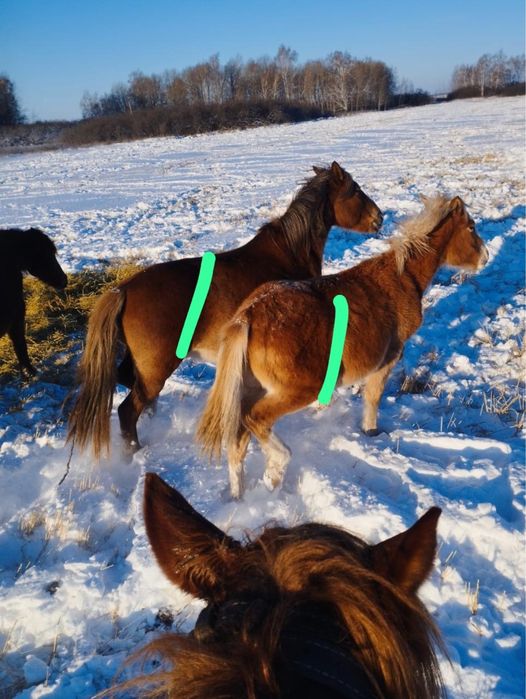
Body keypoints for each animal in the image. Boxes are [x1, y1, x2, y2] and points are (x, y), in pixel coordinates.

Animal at [68, 162, 382, 458]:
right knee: (127, 411)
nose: (378, 218)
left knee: (125, 383)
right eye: (355, 189)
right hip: (155, 368)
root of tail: (122, 290)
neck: (289, 252)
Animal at [197, 195, 489, 499]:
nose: (486, 257)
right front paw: (371, 433)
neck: (403, 277)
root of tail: (249, 315)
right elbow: (372, 397)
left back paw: (239, 496)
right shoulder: (388, 359)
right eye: (471, 227)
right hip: (295, 391)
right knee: (256, 420)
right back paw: (276, 469)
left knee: (237, 440)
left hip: (251, 388)